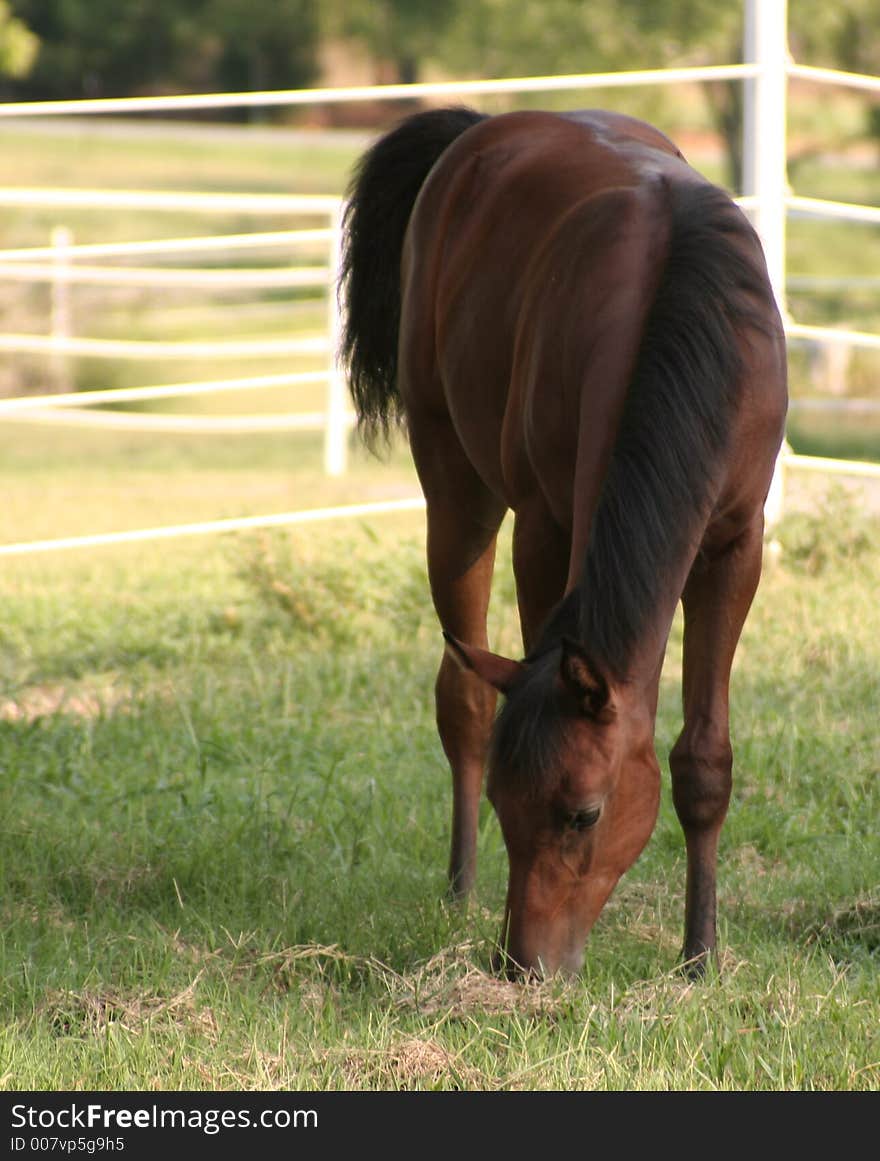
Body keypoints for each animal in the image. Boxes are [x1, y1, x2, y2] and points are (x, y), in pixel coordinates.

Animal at [338, 109, 794, 979]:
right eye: (503, 800)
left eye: (582, 813)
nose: (524, 965)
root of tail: (488, 126)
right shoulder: (546, 528)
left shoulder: (735, 545)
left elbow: (704, 761)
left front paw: (699, 954)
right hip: (457, 495)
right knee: (465, 696)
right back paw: (459, 887)